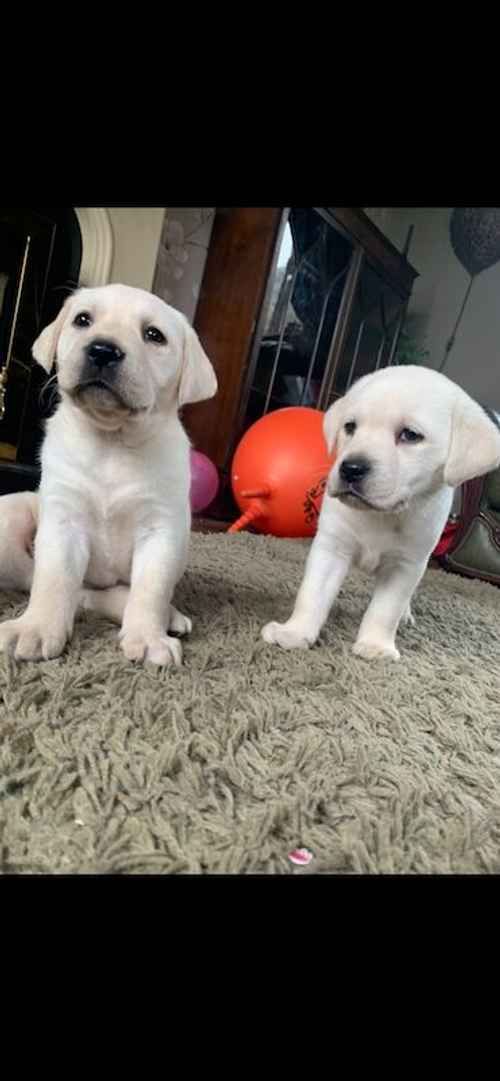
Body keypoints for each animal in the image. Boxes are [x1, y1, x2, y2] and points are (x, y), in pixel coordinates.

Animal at [0, 283, 217, 661]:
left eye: (154, 335)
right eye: (82, 320)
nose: (103, 350)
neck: (112, 441)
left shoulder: (160, 530)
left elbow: (150, 589)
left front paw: (148, 637)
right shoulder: (64, 522)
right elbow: (53, 579)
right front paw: (36, 629)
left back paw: (168, 615)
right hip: (10, 524)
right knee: (71, 590)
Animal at [262, 365, 500, 657]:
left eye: (410, 435)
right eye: (350, 427)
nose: (351, 468)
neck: (383, 515)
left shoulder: (406, 564)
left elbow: (386, 609)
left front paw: (375, 646)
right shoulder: (332, 547)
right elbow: (312, 594)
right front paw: (294, 632)